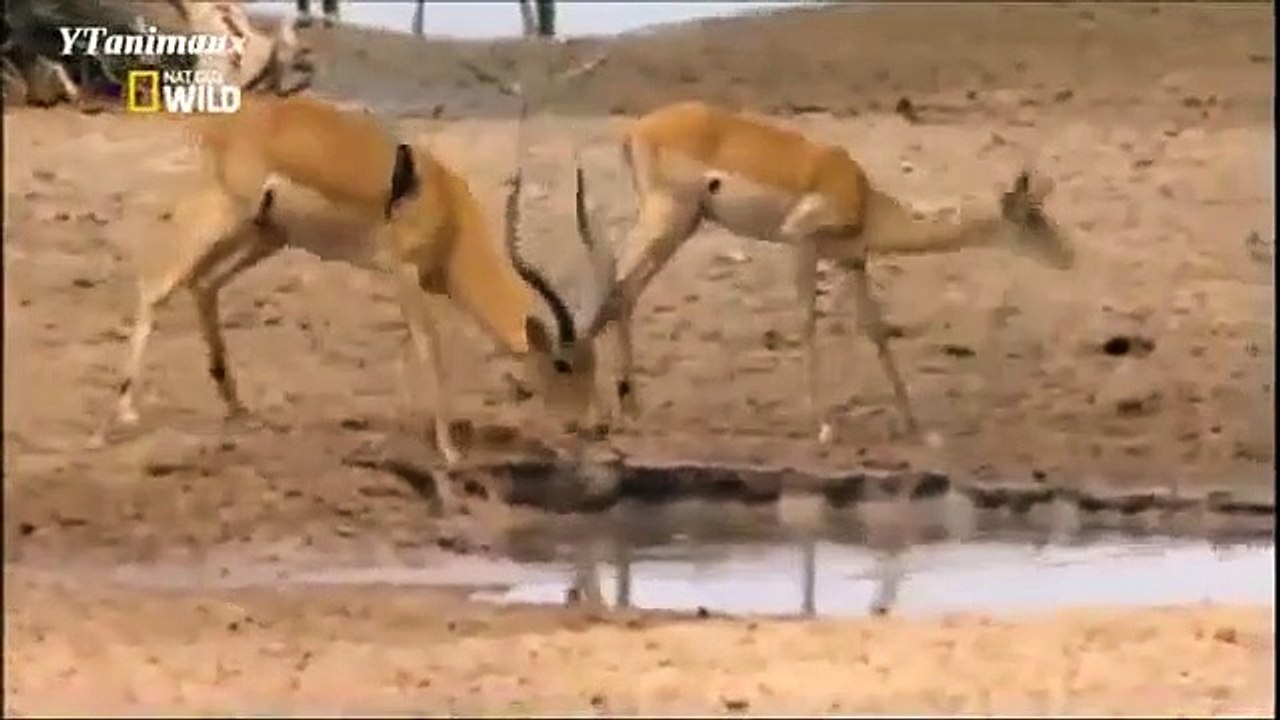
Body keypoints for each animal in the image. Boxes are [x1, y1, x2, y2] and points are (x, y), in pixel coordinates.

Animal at [89, 57, 616, 475]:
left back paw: (237, 407)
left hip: (265, 234)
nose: (598, 426)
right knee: (160, 280)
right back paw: (121, 415)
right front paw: (449, 452)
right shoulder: (402, 273)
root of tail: (230, 119)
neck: (445, 208)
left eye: (595, 363)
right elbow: (431, 351)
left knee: (203, 285)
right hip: (228, 213)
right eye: (564, 364)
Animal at [583, 100, 1076, 445]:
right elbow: (807, 323)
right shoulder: (802, 241)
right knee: (616, 285)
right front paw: (823, 425)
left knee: (626, 290)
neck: (864, 197)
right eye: (1031, 217)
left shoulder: (852, 260)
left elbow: (876, 329)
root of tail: (636, 130)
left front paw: (915, 425)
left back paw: (630, 408)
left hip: (682, 225)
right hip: (667, 217)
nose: (1068, 256)